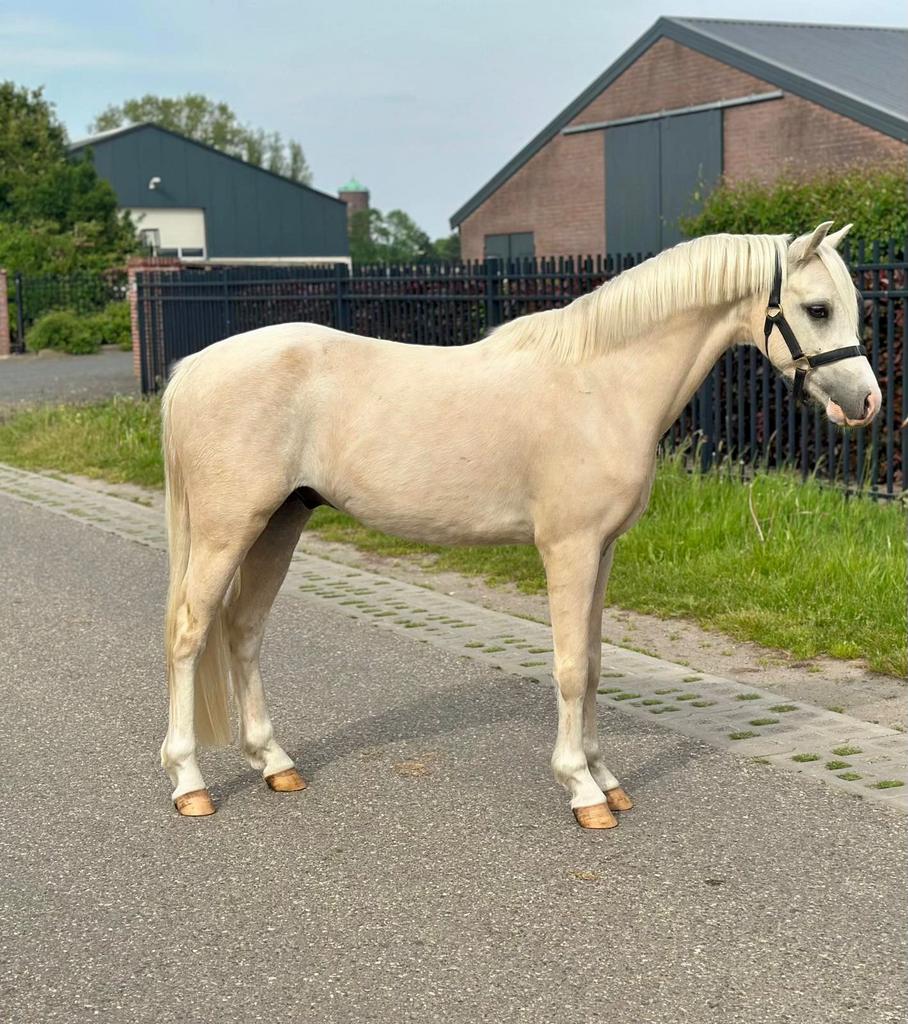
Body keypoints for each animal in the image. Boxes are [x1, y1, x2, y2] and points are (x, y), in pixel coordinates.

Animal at [159, 222, 880, 829]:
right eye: (818, 308)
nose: (866, 402)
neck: (601, 385)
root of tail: (193, 367)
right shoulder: (569, 550)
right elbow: (568, 667)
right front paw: (583, 791)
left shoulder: (604, 552)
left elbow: (594, 663)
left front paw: (606, 776)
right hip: (229, 530)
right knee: (192, 633)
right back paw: (189, 783)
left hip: (279, 523)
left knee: (244, 631)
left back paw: (275, 764)